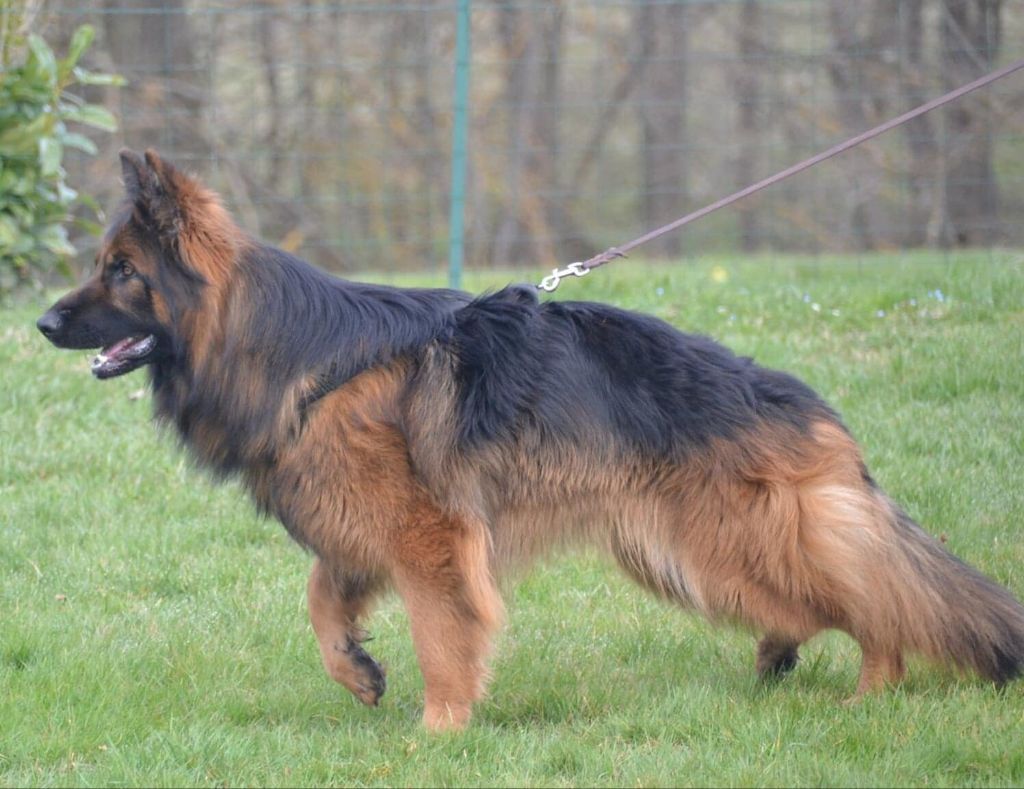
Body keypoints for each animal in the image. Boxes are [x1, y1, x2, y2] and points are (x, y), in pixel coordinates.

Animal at [37, 151, 1024, 732]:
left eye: (120, 271)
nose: (43, 322)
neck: (294, 352)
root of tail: (803, 403)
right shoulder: (356, 523)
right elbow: (321, 598)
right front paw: (356, 672)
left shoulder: (431, 539)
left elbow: (442, 634)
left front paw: (438, 731)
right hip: (683, 555)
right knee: (825, 602)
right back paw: (786, 659)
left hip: (724, 540)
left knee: (879, 601)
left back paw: (870, 692)